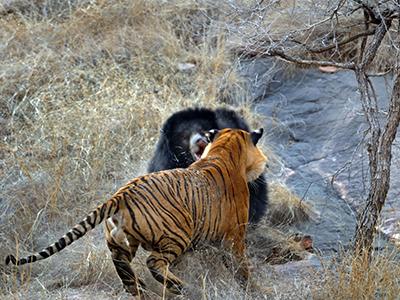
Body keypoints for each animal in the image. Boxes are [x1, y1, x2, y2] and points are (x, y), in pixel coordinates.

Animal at [5, 127, 266, 296]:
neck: (223, 149)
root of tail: (121, 194)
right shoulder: (235, 236)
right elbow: (241, 267)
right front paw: (251, 289)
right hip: (177, 234)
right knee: (154, 262)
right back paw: (177, 287)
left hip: (121, 243)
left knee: (123, 267)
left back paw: (141, 289)